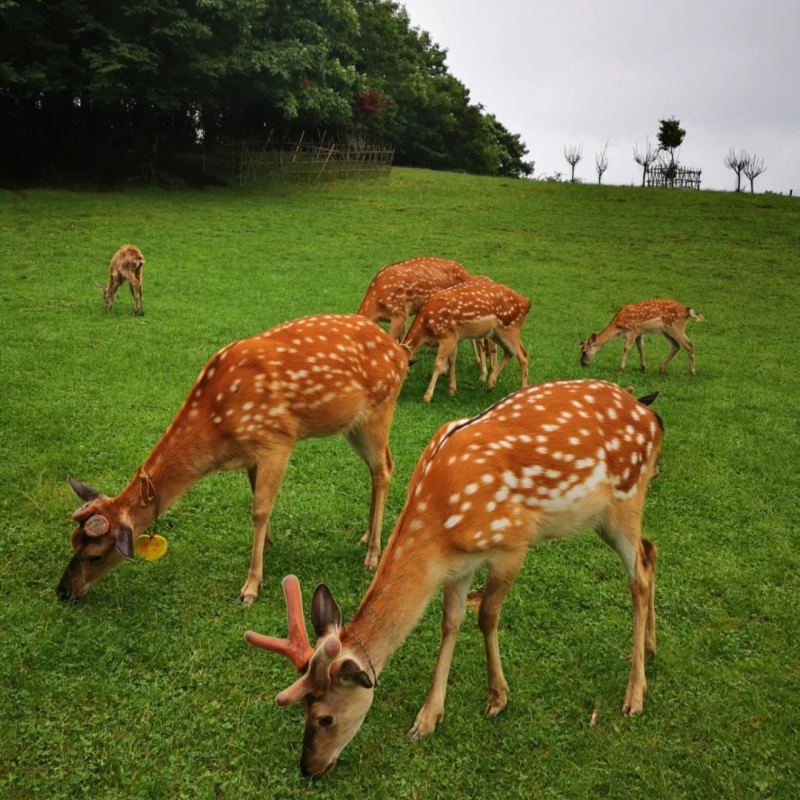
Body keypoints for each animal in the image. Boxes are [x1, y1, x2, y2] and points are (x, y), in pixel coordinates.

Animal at [56, 314, 408, 604]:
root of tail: (402, 353)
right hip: (352, 425)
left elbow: (259, 511)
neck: (216, 428)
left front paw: (250, 587)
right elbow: (258, 504)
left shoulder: (277, 439)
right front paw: (267, 547)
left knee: (384, 470)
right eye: (72, 542)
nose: (63, 591)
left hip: (380, 408)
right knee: (380, 466)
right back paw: (366, 536)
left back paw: (372, 556)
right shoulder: (252, 454)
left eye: (95, 556)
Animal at [244, 379, 663, 777]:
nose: (308, 768)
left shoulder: (514, 543)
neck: (439, 527)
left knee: (638, 576)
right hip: (605, 518)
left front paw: (497, 697)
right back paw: (648, 648)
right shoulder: (458, 564)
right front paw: (427, 718)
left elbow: (487, 616)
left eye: (324, 717)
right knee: (650, 551)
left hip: (626, 500)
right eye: (302, 711)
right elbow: (450, 622)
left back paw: (635, 695)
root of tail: (652, 418)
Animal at [402, 279, 530, 402]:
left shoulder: (448, 335)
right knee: (510, 352)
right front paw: (452, 390)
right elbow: (452, 360)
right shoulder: (456, 337)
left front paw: (427, 396)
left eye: (404, 372)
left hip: (510, 328)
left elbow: (438, 363)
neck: (426, 328)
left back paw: (522, 390)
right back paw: (490, 384)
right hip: (496, 333)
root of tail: (527, 303)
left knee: (523, 355)